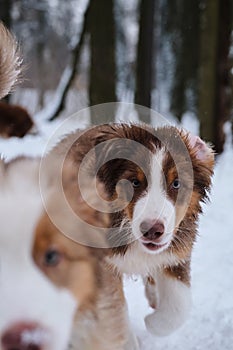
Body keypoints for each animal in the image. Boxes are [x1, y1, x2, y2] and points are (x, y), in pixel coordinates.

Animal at [52, 123, 215, 336]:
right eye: (134, 182)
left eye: (177, 183)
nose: (152, 230)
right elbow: (114, 312)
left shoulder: (176, 250)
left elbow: (180, 304)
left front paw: (154, 323)